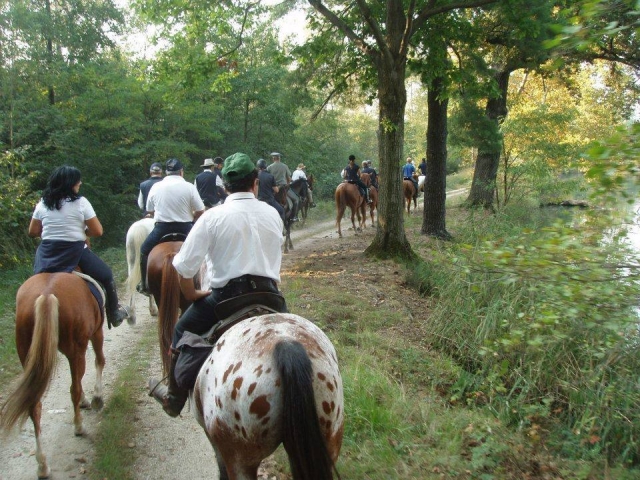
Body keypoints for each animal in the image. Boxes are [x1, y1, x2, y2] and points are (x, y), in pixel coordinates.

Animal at [0, 273, 106, 479]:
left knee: (34, 406)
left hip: (28, 354)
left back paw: (42, 465)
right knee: (74, 388)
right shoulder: (97, 333)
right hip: (77, 349)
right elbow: (99, 362)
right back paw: (78, 426)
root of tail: (47, 294)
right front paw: (96, 397)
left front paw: (87, 400)